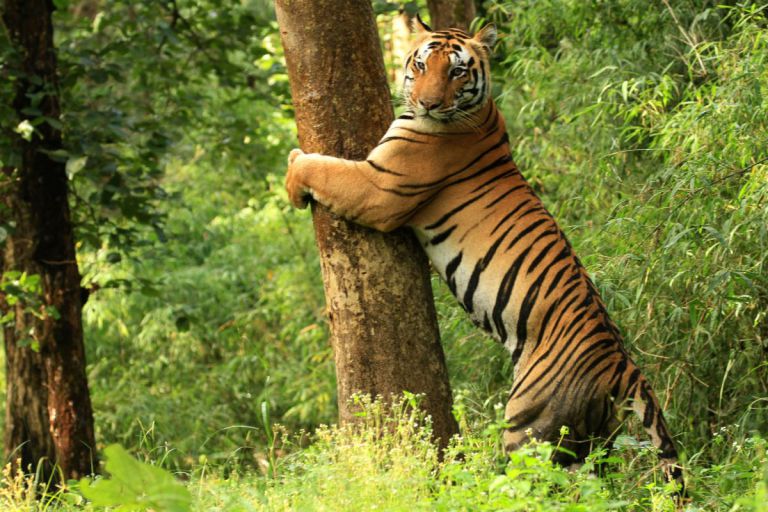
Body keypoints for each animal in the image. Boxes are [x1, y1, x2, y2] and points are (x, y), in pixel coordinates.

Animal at [284, 14, 688, 490]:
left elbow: (322, 167)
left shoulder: (377, 187)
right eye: (421, 65)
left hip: (530, 428)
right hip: (593, 440)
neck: (477, 111)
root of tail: (621, 364)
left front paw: (292, 173)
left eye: (457, 71)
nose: (428, 104)